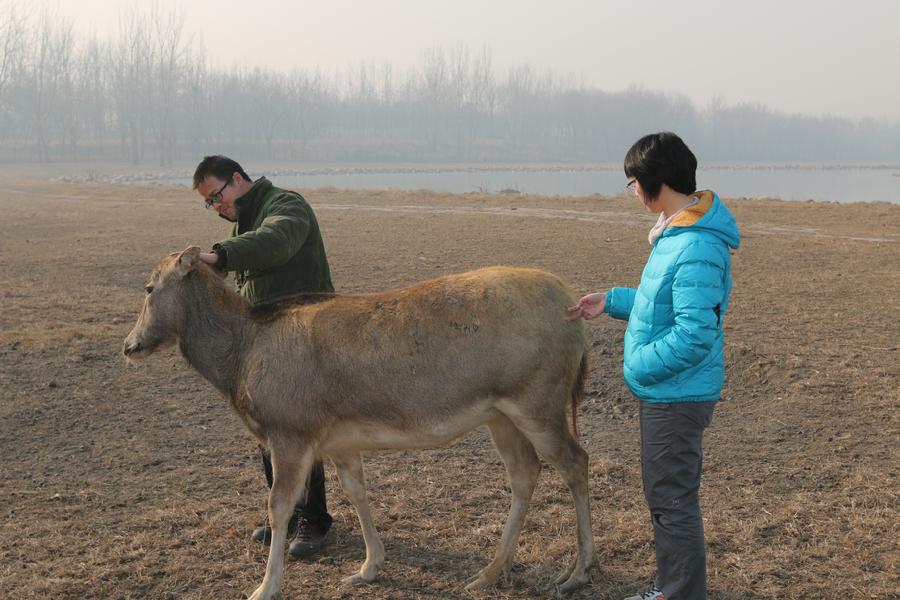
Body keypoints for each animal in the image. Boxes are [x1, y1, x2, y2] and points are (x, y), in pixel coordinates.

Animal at [123, 246, 594, 600]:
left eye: (148, 287)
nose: (130, 345)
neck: (240, 361)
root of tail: (568, 302)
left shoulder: (290, 430)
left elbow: (279, 504)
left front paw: (264, 587)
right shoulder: (339, 440)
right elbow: (356, 491)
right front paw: (368, 567)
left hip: (538, 399)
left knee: (576, 461)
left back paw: (579, 571)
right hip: (501, 416)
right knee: (525, 472)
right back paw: (491, 572)